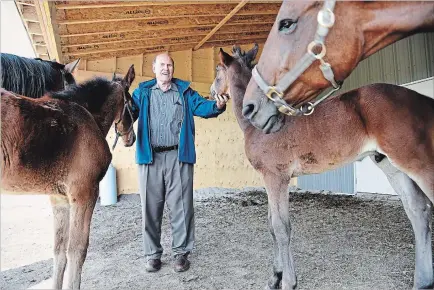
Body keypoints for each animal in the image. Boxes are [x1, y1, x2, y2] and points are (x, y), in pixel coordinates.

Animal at [0, 64, 136, 288]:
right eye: (133, 106)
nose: (131, 139)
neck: (87, 117)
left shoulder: (59, 199)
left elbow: (59, 251)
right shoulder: (84, 193)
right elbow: (77, 250)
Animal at [213, 45, 434, 290]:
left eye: (217, 70)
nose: (212, 93)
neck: (258, 125)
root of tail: (423, 100)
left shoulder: (276, 177)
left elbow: (281, 227)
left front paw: (288, 281)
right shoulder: (270, 179)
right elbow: (271, 225)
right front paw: (274, 277)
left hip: (418, 162)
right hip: (391, 166)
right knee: (418, 210)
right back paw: (422, 282)